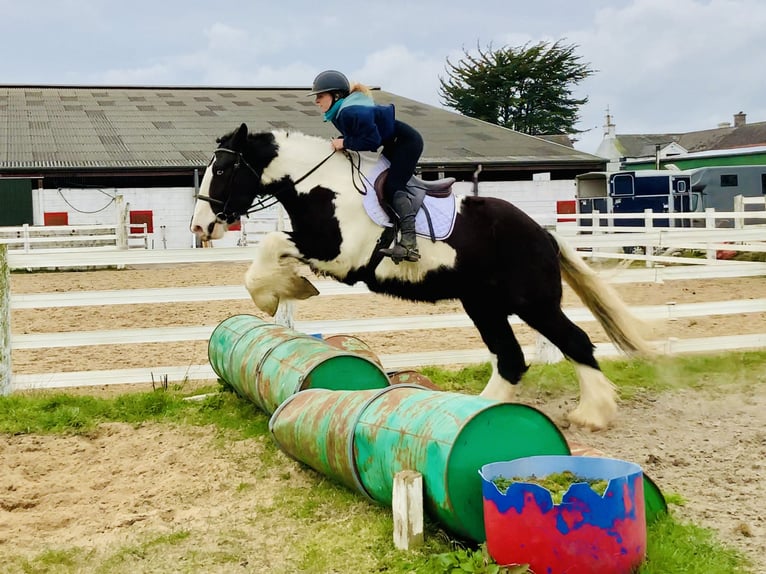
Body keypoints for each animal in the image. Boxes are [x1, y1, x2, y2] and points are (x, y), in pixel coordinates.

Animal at [192, 125, 656, 432]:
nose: (201, 227)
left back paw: (592, 414)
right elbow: (274, 250)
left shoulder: (341, 256)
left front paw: (275, 295)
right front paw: (288, 287)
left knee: (574, 342)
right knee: (511, 357)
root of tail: (543, 234)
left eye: (224, 170)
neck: (324, 187)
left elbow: (271, 244)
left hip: (532, 303)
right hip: (483, 305)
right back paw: (476, 412)